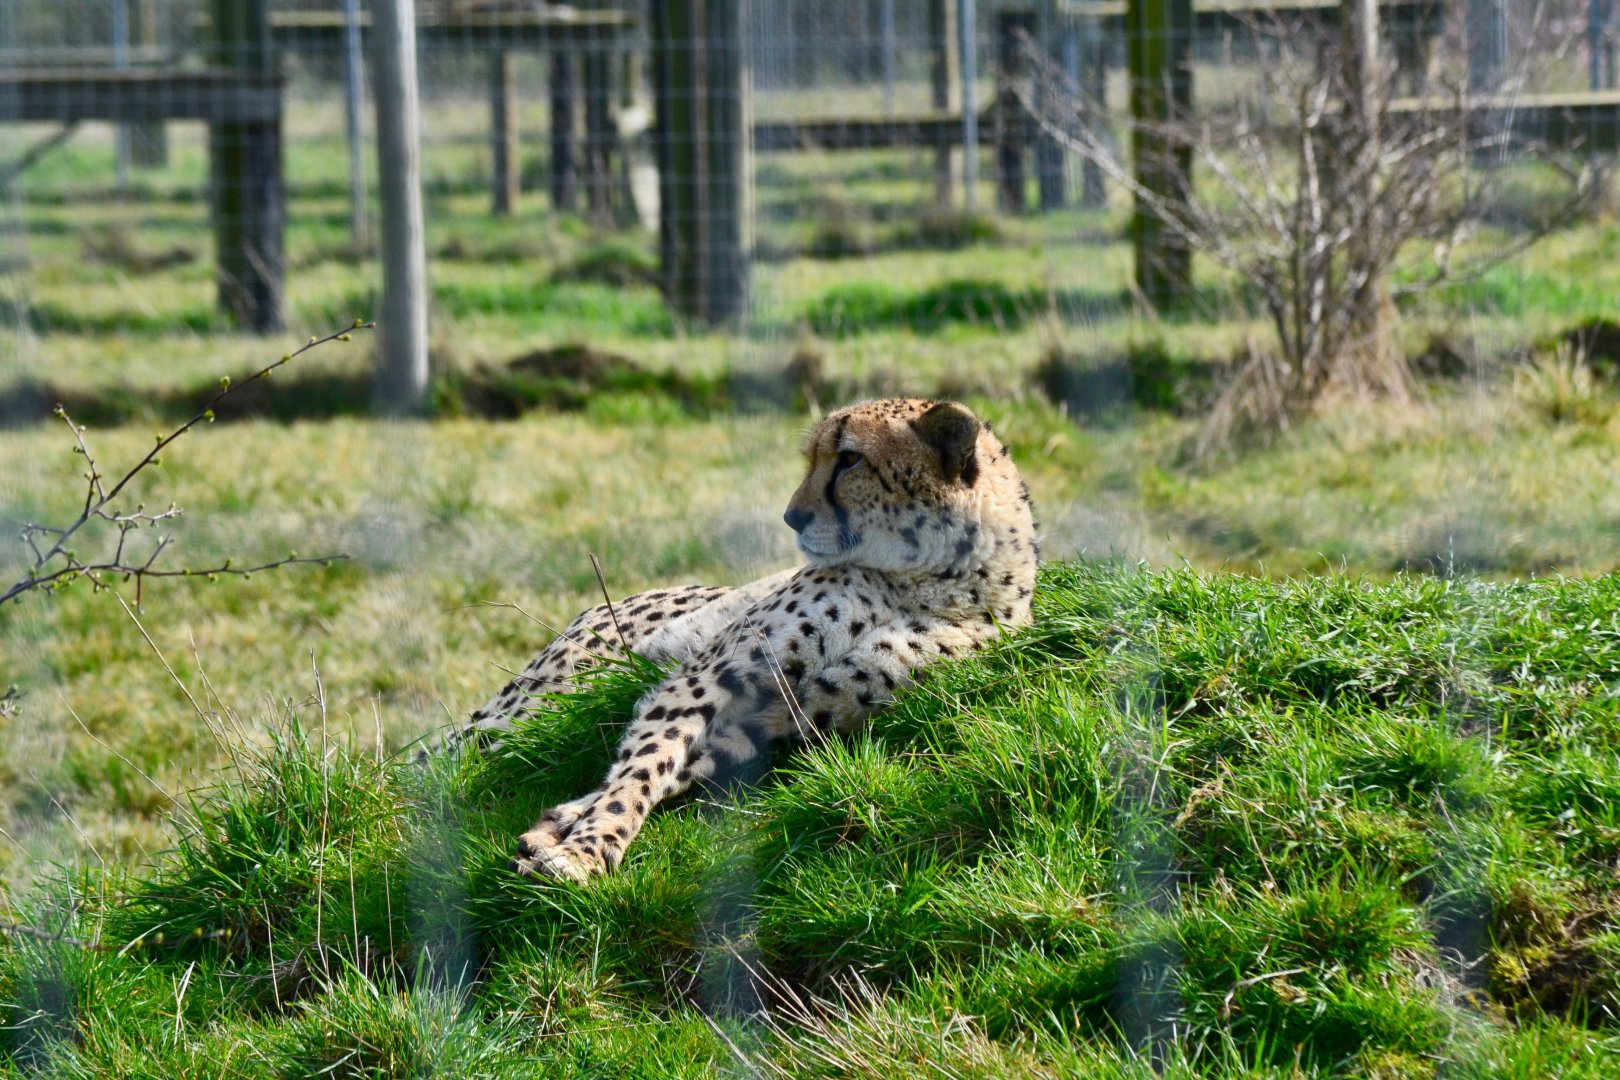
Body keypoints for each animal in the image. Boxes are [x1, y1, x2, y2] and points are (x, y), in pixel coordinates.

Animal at [437, 398, 1039, 881]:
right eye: (815, 458)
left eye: (849, 459)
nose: (792, 517)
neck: (934, 579)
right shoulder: (712, 674)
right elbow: (646, 764)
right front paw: (585, 850)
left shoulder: (799, 711)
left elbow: (680, 767)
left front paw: (562, 829)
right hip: (536, 706)